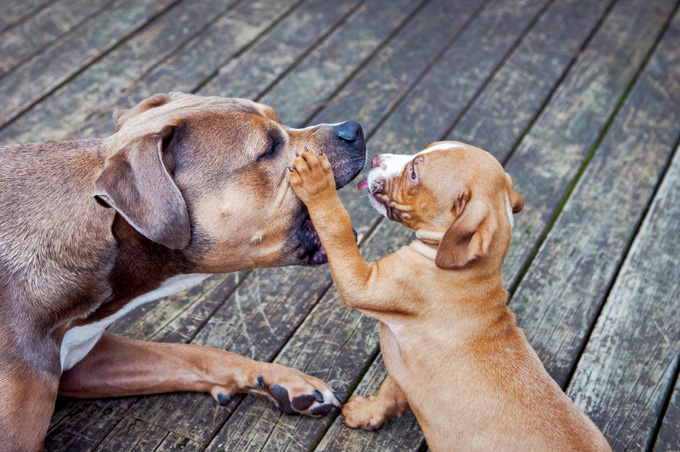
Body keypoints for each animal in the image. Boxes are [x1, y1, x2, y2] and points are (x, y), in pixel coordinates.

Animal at [286, 142, 612, 452]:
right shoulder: (401, 366)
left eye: (414, 174)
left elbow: (336, 225)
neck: (469, 269)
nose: (377, 158)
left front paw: (316, 180)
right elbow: (391, 391)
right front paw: (368, 413)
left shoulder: (362, 282)